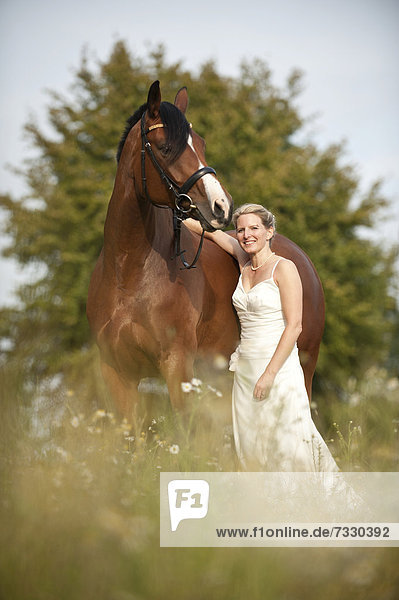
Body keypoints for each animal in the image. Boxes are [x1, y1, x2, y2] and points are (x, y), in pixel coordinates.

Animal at [87, 81, 324, 422]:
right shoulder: (117, 373)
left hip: (303, 368)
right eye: (164, 147)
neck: (128, 274)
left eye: (200, 143)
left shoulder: (177, 366)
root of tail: (302, 260)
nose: (221, 206)